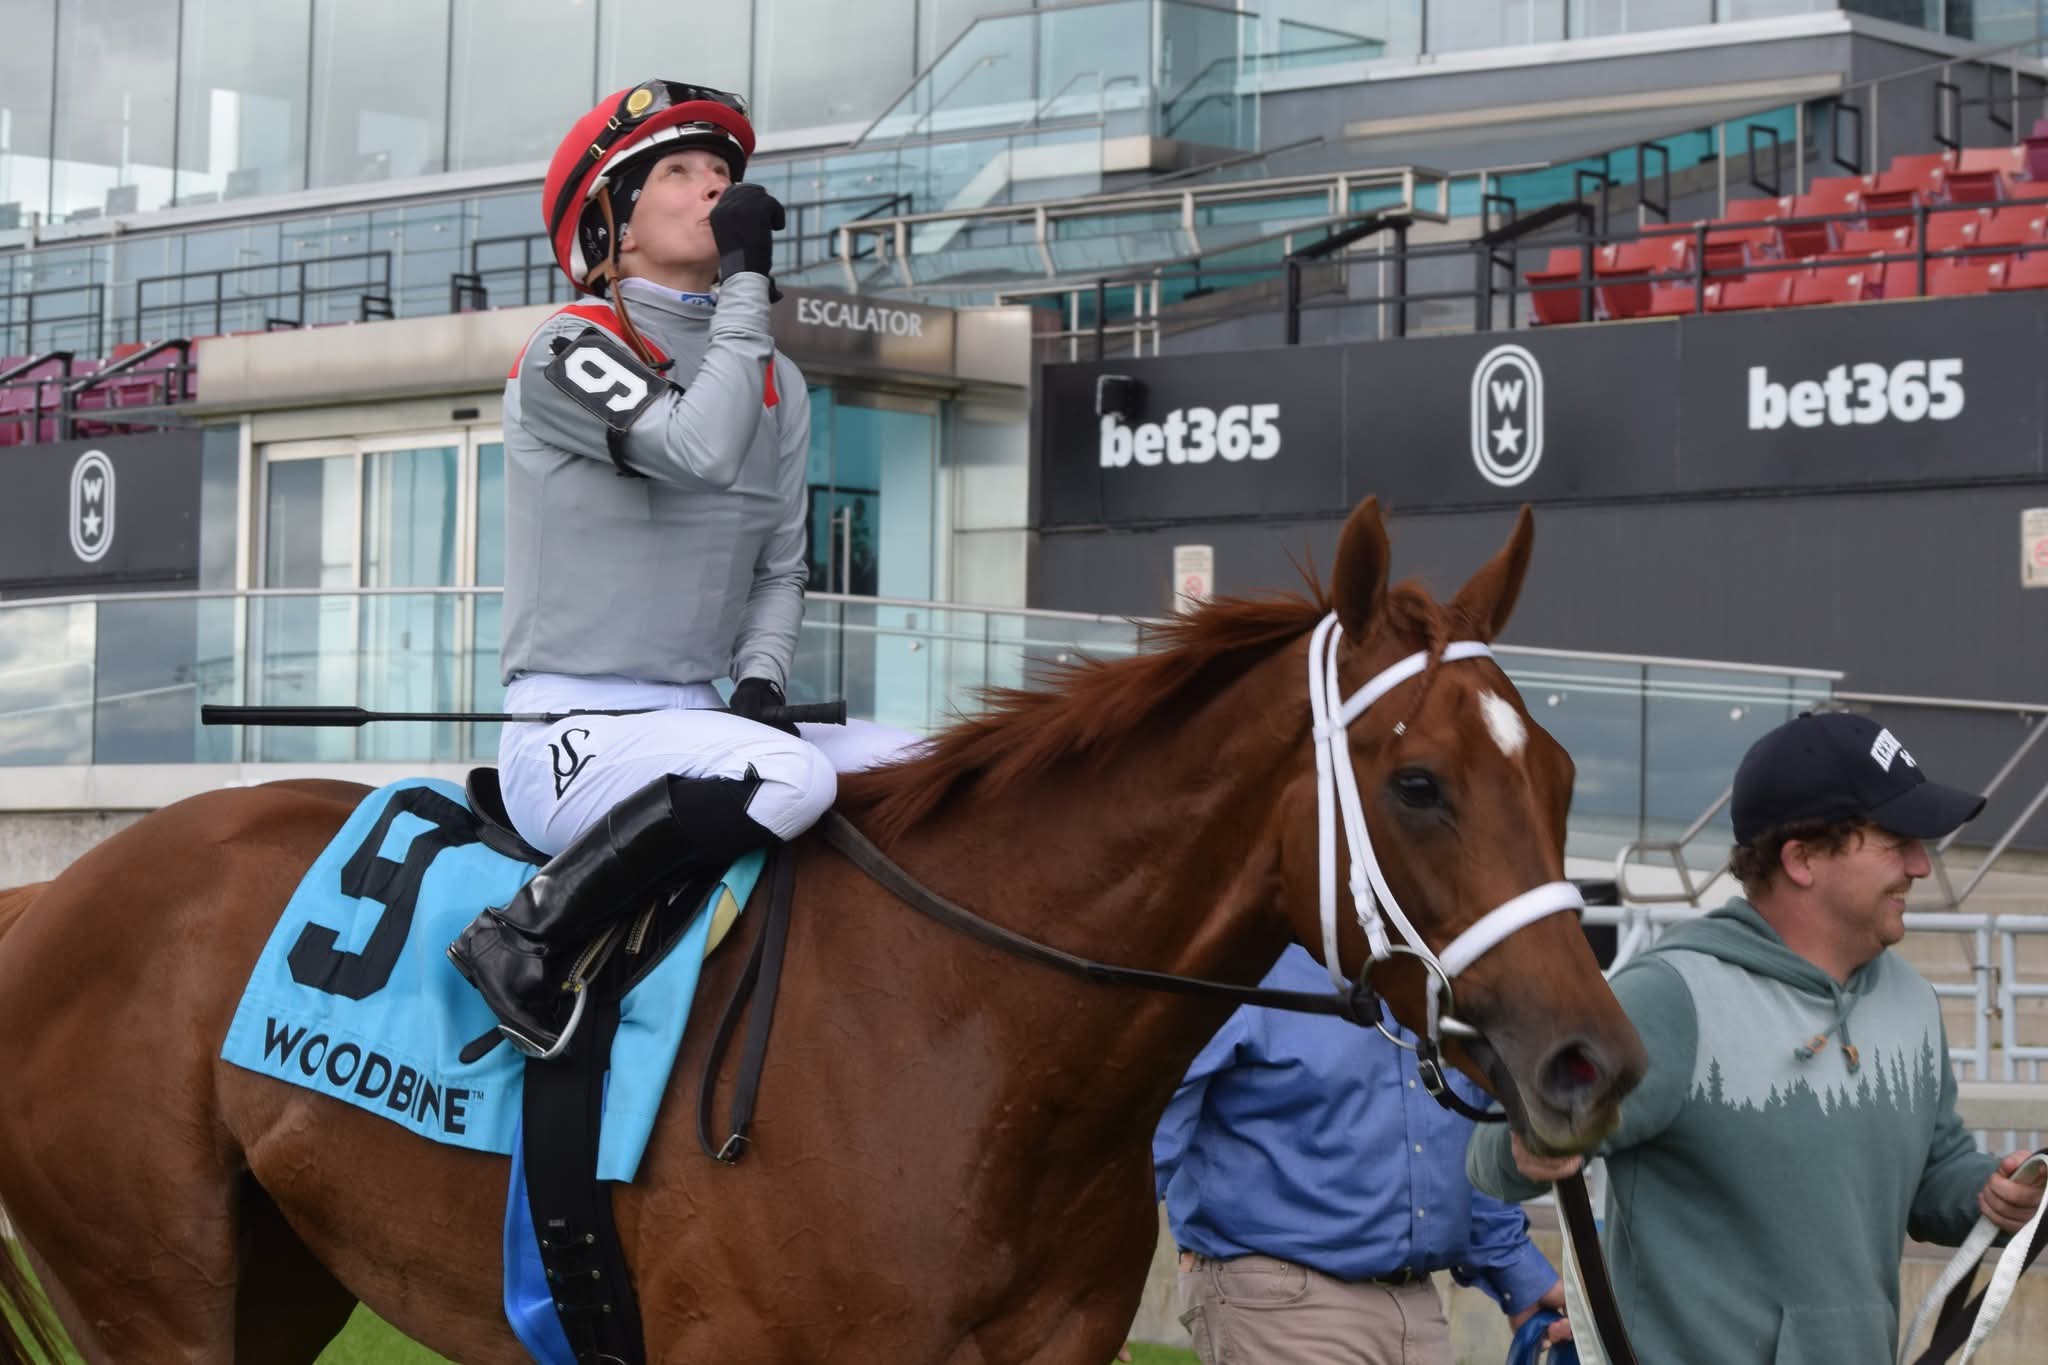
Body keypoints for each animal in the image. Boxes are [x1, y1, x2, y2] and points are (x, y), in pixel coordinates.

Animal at [0, 496, 1645, 1364]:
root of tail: (55, 894)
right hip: (153, 1292)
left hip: (273, 1282)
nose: (1591, 1063)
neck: (968, 1034)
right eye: (1419, 783)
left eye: (1565, 775)